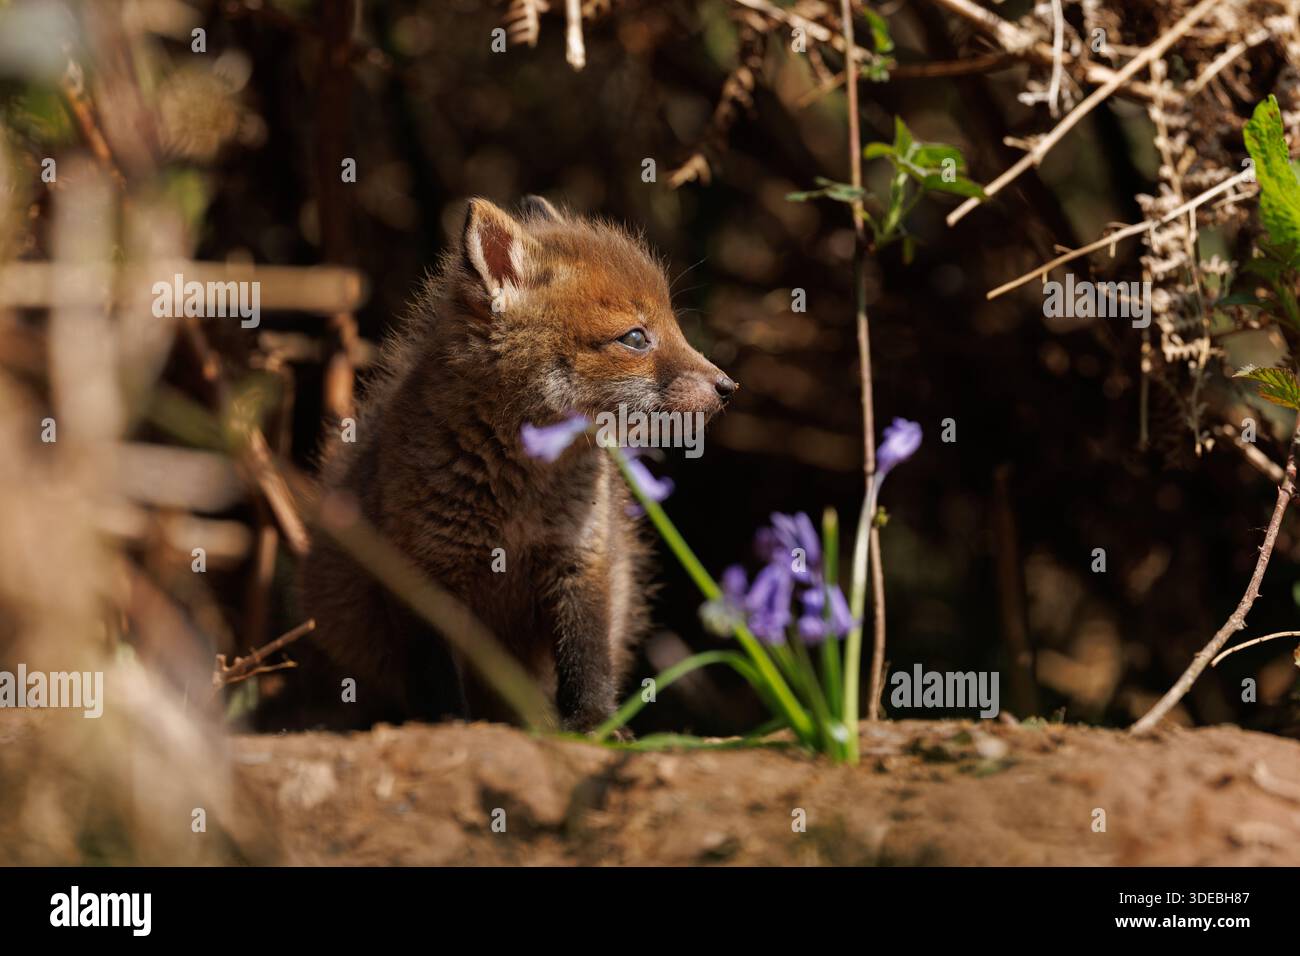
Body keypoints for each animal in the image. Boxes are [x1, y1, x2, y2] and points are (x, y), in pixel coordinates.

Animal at [299, 196, 736, 732]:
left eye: (674, 324)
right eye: (635, 338)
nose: (728, 387)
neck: (519, 499)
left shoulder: (580, 559)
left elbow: (586, 660)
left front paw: (595, 725)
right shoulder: (419, 574)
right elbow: (434, 679)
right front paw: (449, 727)